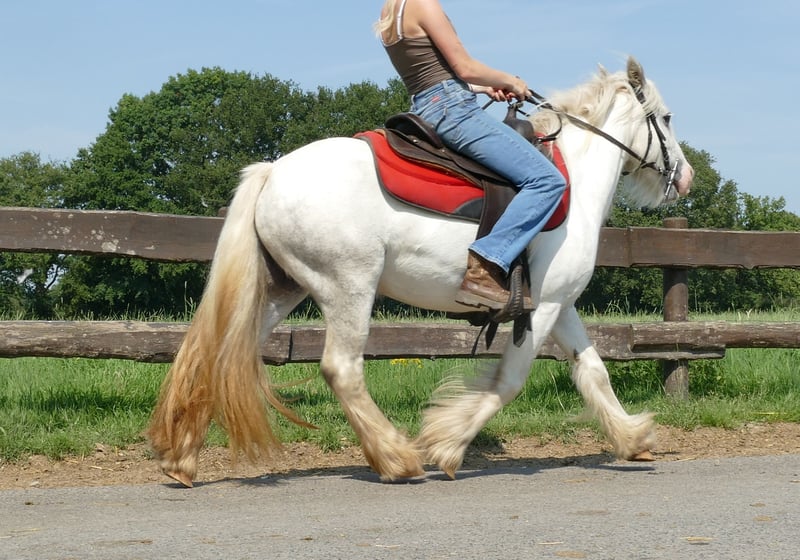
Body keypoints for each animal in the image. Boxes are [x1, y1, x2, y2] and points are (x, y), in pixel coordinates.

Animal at [147, 57, 694, 487]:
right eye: (666, 118)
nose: (686, 177)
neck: (573, 183)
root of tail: (273, 172)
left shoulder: (560, 304)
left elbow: (593, 370)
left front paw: (633, 437)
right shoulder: (544, 307)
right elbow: (510, 380)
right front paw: (447, 444)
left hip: (283, 289)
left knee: (217, 358)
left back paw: (181, 459)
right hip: (349, 288)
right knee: (341, 369)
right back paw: (397, 457)